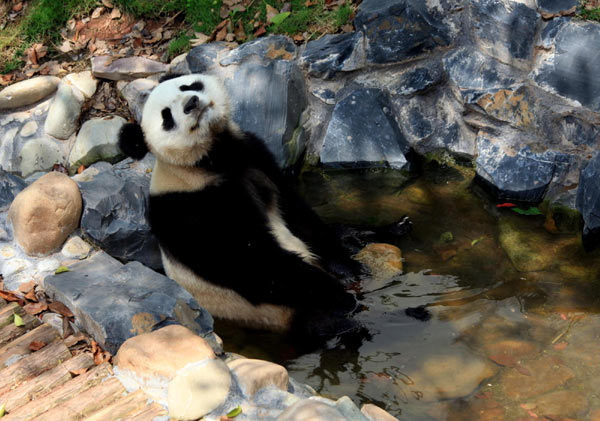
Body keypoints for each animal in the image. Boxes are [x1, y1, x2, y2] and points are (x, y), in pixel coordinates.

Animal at [116, 74, 360, 340]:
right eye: (167, 117)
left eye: (188, 85)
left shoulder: (253, 154)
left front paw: (345, 264)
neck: (211, 159)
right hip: (273, 313)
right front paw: (338, 294)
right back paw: (341, 322)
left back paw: (353, 237)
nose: (192, 103)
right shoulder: (189, 208)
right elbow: (248, 261)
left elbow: (296, 209)